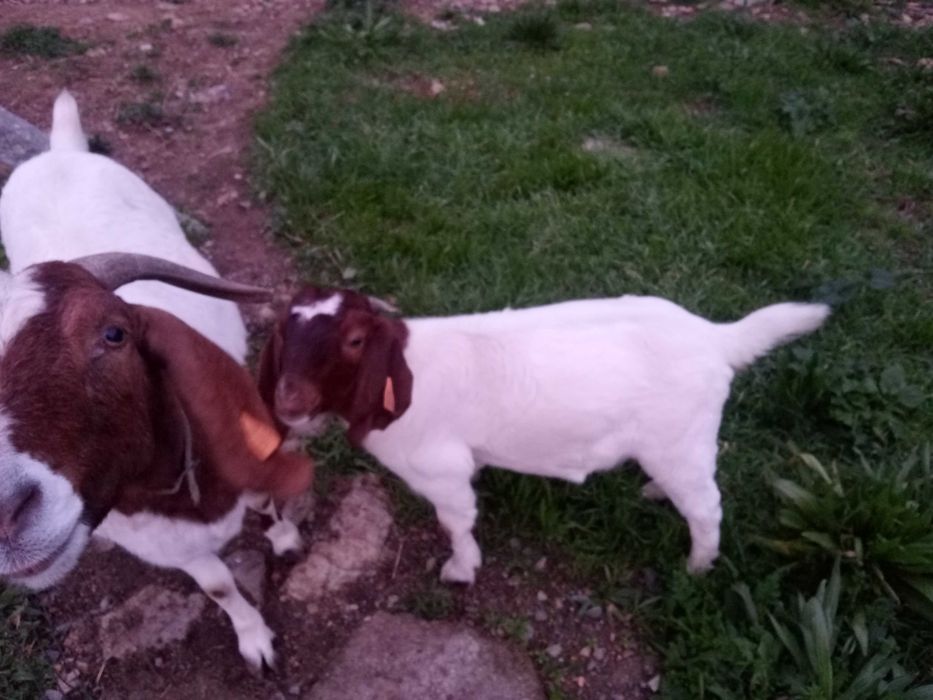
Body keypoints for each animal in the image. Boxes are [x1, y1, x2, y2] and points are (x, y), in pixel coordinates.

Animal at [0, 91, 313, 669]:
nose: (7, 516)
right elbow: (218, 586)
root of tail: (60, 149)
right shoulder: (173, 548)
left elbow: (265, 502)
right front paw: (255, 640)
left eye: (114, 333)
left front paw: (283, 539)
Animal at [258, 287, 829, 583]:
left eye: (356, 339)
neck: (402, 377)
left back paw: (696, 567)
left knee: (707, 508)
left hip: (680, 440)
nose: (288, 398)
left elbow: (456, 521)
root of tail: (715, 338)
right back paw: (654, 492)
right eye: (285, 329)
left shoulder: (442, 469)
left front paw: (460, 569)